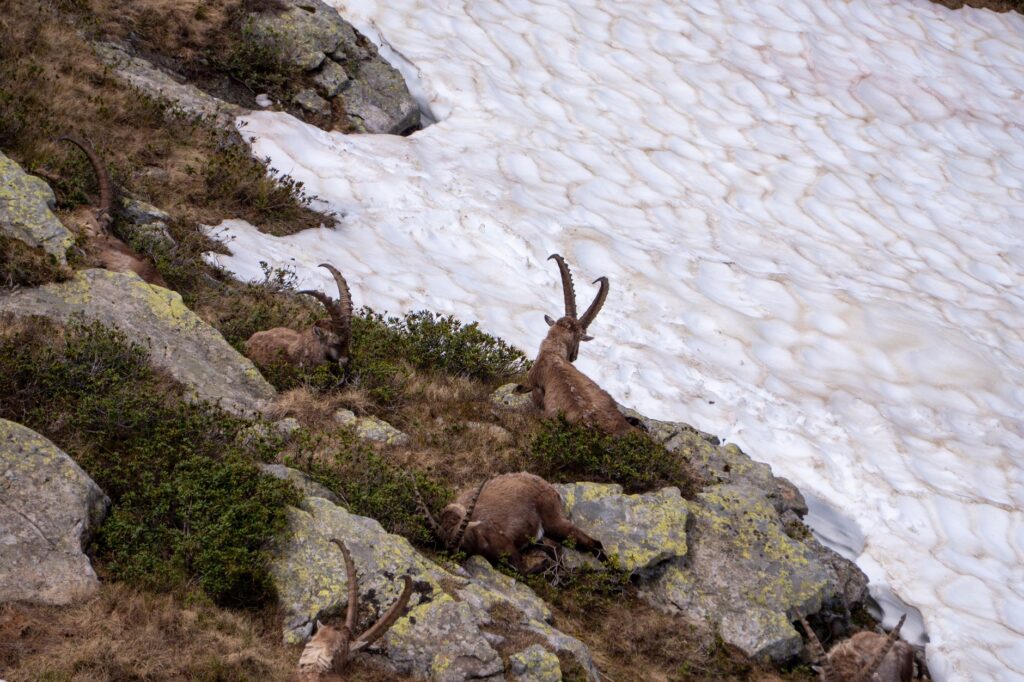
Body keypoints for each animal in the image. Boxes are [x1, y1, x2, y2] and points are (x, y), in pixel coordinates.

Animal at [415, 472, 604, 575]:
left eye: (462, 538)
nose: (454, 554)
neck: (478, 535)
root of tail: (548, 486)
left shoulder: (508, 547)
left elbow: (522, 571)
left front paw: (543, 565)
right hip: (542, 537)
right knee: (557, 549)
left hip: (554, 523)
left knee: (593, 542)